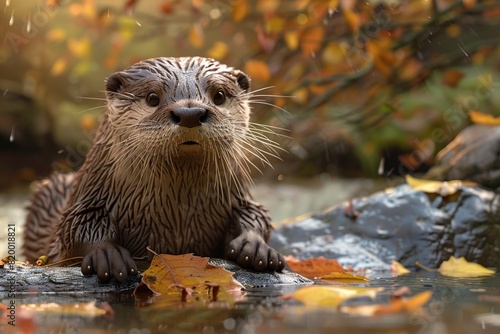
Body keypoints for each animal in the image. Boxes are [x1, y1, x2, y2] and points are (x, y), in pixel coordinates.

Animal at [23, 56, 286, 282]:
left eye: (219, 95)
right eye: (152, 97)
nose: (190, 113)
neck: (176, 211)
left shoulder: (238, 195)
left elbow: (256, 213)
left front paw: (256, 246)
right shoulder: (89, 198)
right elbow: (75, 225)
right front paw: (107, 254)